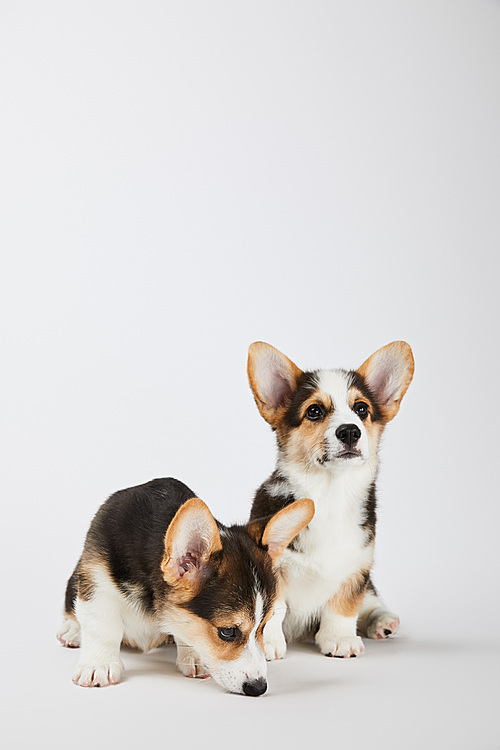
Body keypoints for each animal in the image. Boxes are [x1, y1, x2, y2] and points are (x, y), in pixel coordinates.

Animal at [55, 478, 312, 696]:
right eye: (227, 632)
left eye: (264, 626)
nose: (259, 688)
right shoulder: (96, 581)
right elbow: (102, 627)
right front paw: (98, 666)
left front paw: (193, 656)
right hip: (76, 579)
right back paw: (72, 631)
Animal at [246, 344, 414, 660]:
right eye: (314, 411)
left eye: (361, 409)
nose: (350, 431)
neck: (329, 493)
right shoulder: (273, 565)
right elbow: (274, 608)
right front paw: (269, 643)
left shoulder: (357, 565)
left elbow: (345, 605)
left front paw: (340, 640)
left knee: (371, 599)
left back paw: (383, 621)